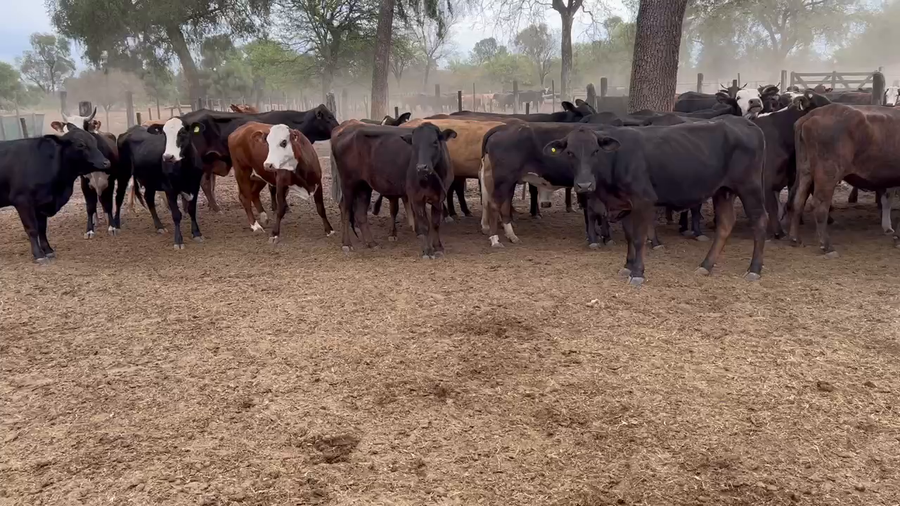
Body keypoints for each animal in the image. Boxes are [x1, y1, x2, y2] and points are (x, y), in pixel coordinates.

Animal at [0, 126, 111, 262]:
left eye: (95, 142)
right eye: (80, 144)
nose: (106, 162)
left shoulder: (41, 203)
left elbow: (42, 229)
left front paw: (48, 250)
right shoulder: (22, 201)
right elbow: (32, 229)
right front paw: (38, 255)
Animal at [118, 120, 204, 249]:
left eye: (182, 132)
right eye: (164, 134)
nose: (168, 157)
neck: (185, 169)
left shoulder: (195, 186)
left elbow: (192, 210)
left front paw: (197, 233)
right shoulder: (170, 189)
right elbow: (176, 215)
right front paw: (178, 241)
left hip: (150, 180)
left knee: (148, 198)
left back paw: (159, 226)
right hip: (123, 173)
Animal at [330, 122, 456, 257]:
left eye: (435, 142)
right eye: (414, 144)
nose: (422, 167)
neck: (433, 179)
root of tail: (345, 130)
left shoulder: (439, 197)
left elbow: (435, 224)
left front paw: (438, 248)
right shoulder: (416, 197)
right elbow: (424, 225)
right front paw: (427, 251)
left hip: (364, 186)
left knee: (360, 213)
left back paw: (372, 243)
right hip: (348, 183)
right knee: (345, 209)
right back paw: (347, 244)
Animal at [543, 119, 768, 285]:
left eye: (595, 151)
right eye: (570, 152)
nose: (584, 184)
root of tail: (745, 122)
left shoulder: (643, 200)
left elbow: (639, 238)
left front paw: (638, 272)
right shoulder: (626, 204)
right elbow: (629, 236)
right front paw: (627, 266)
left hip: (750, 187)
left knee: (759, 221)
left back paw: (754, 269)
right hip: (723, 190)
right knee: (725, 224)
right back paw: (706, 265)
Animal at [788, 104, 900, 256]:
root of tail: (812, 114)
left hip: (805, 171)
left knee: (798, 200)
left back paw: (795, 239)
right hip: (828, 174)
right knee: (820, 204)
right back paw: (827, 246)